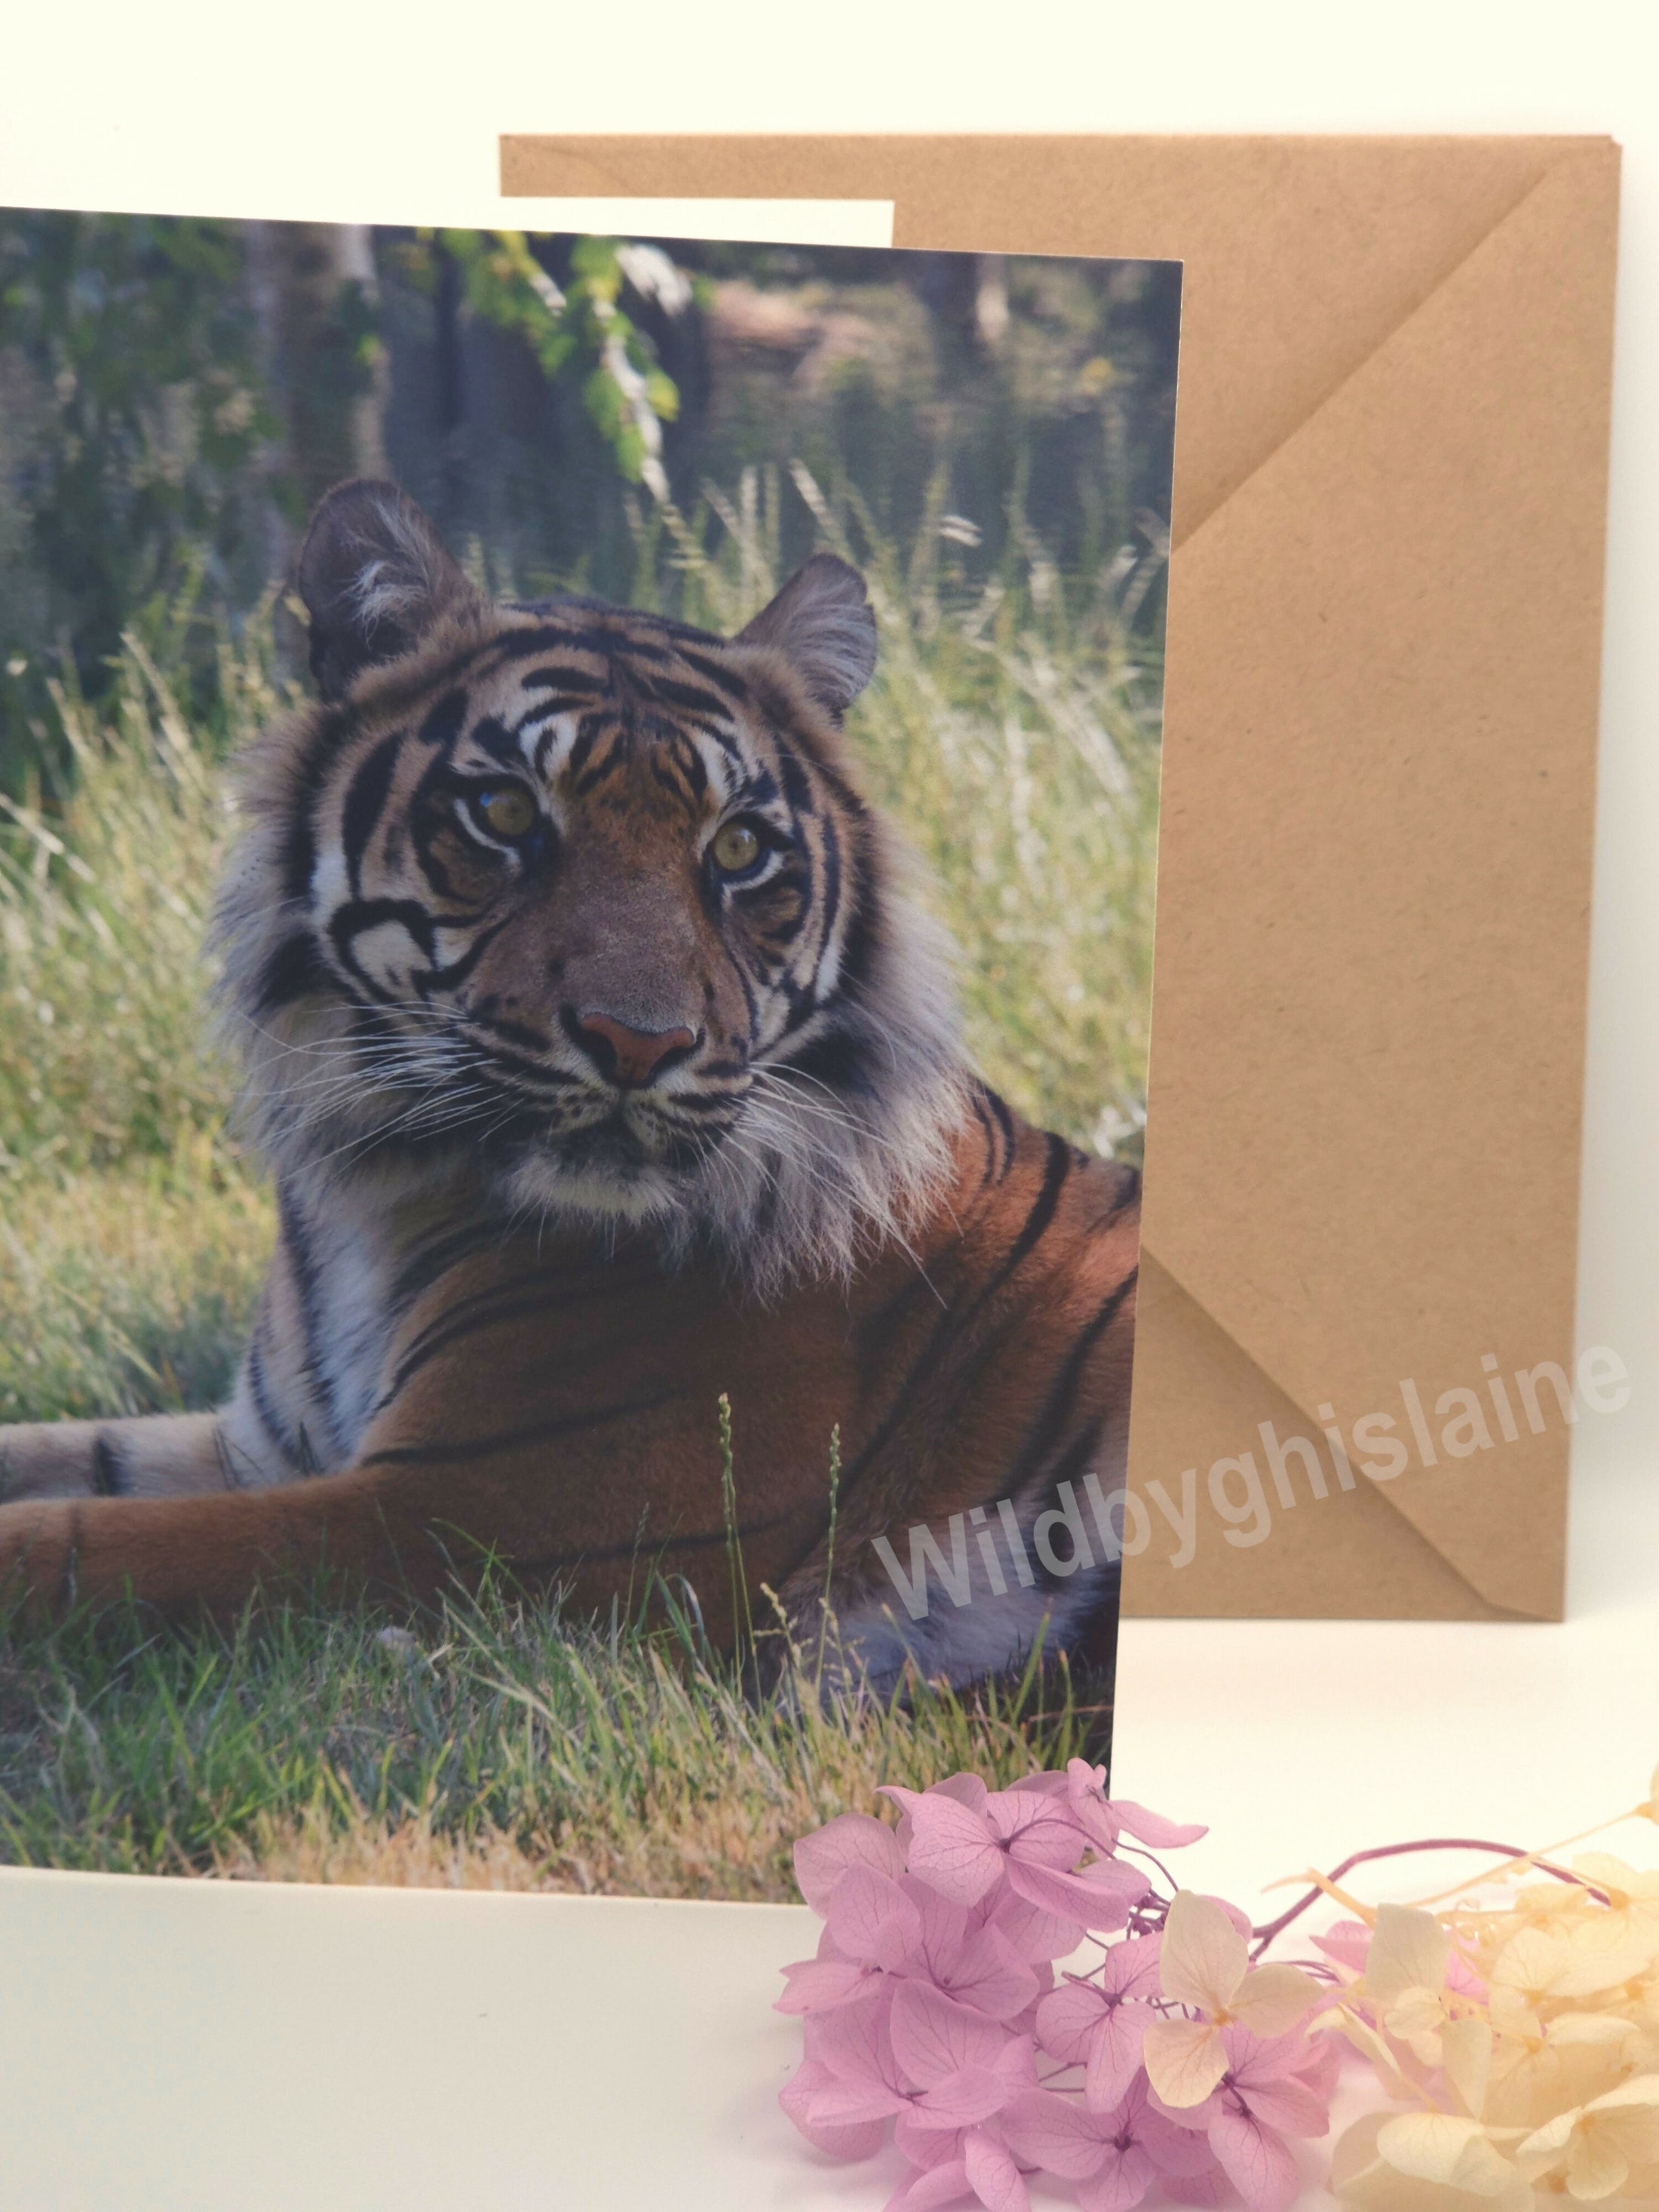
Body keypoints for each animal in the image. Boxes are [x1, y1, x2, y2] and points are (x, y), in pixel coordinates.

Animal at [0, 479, 1140, 1692]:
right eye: (503, 814)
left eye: (738, 849)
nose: (639, 1043)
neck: (380, 1189)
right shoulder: (267, 1445)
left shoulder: (469, 1515)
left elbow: (85, 1546)